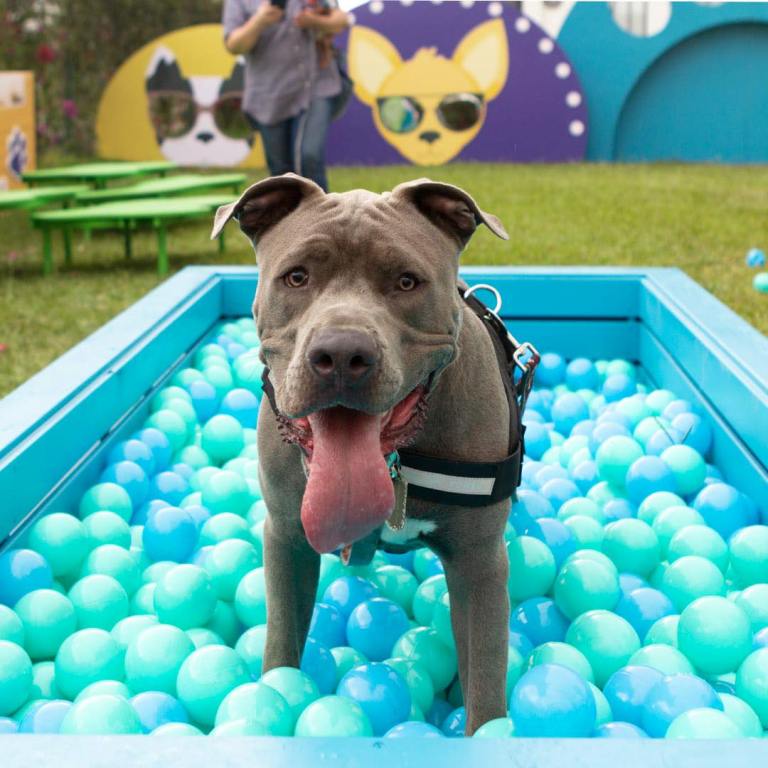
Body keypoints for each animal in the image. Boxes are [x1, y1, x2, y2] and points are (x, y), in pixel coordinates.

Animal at [213, 171, 520, 736]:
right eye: (296, 278)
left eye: (406, 282)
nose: (340, 354)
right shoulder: (286, 536)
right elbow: (282, 640)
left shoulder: (479, 563)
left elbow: (486, 680)